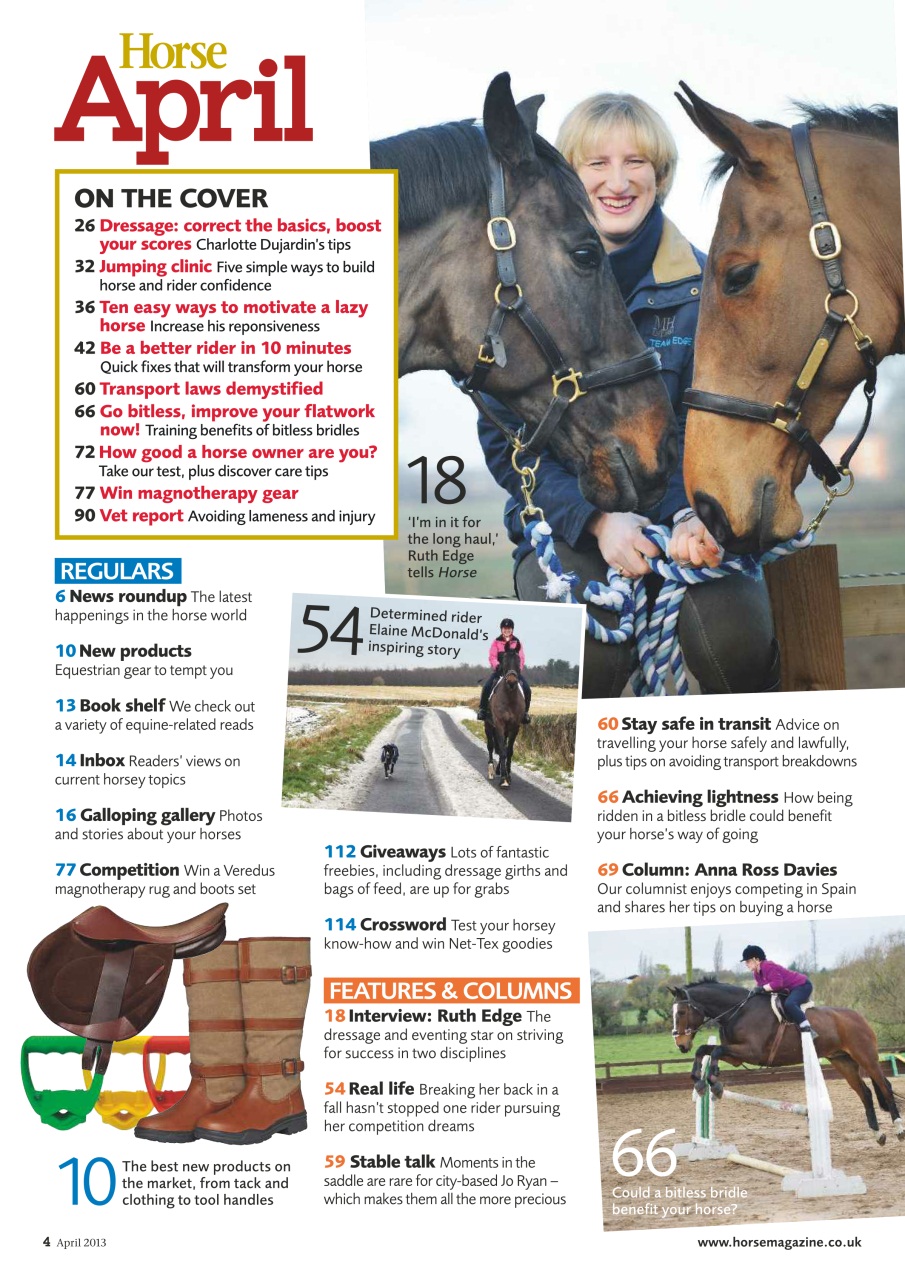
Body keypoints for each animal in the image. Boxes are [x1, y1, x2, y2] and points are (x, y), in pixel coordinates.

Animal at [485, 646, 524, 789]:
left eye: (518, 660)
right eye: (504, 660)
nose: (512, 681)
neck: (509, 697)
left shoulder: (515, 727)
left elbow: (509, 750)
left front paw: (508, 775)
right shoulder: (499, 725)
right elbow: (501, 750)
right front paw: (503, 779)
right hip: (488, 725)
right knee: (490, 746)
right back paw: (491, 770)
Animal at [670, 979, 904, 1146]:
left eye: (681, 1012)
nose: (680, 1044)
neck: (737, 1010)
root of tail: (860, 1017)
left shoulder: (751, 1051)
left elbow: (716, 1050)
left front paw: (714, 1082)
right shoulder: (737, 1057)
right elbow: (704, 1050)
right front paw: (699, 1082)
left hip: (865, 1056)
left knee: (884, 1086)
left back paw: (899, 1128)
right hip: (842, 1061)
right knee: (865, 1092)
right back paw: (878, 1134)